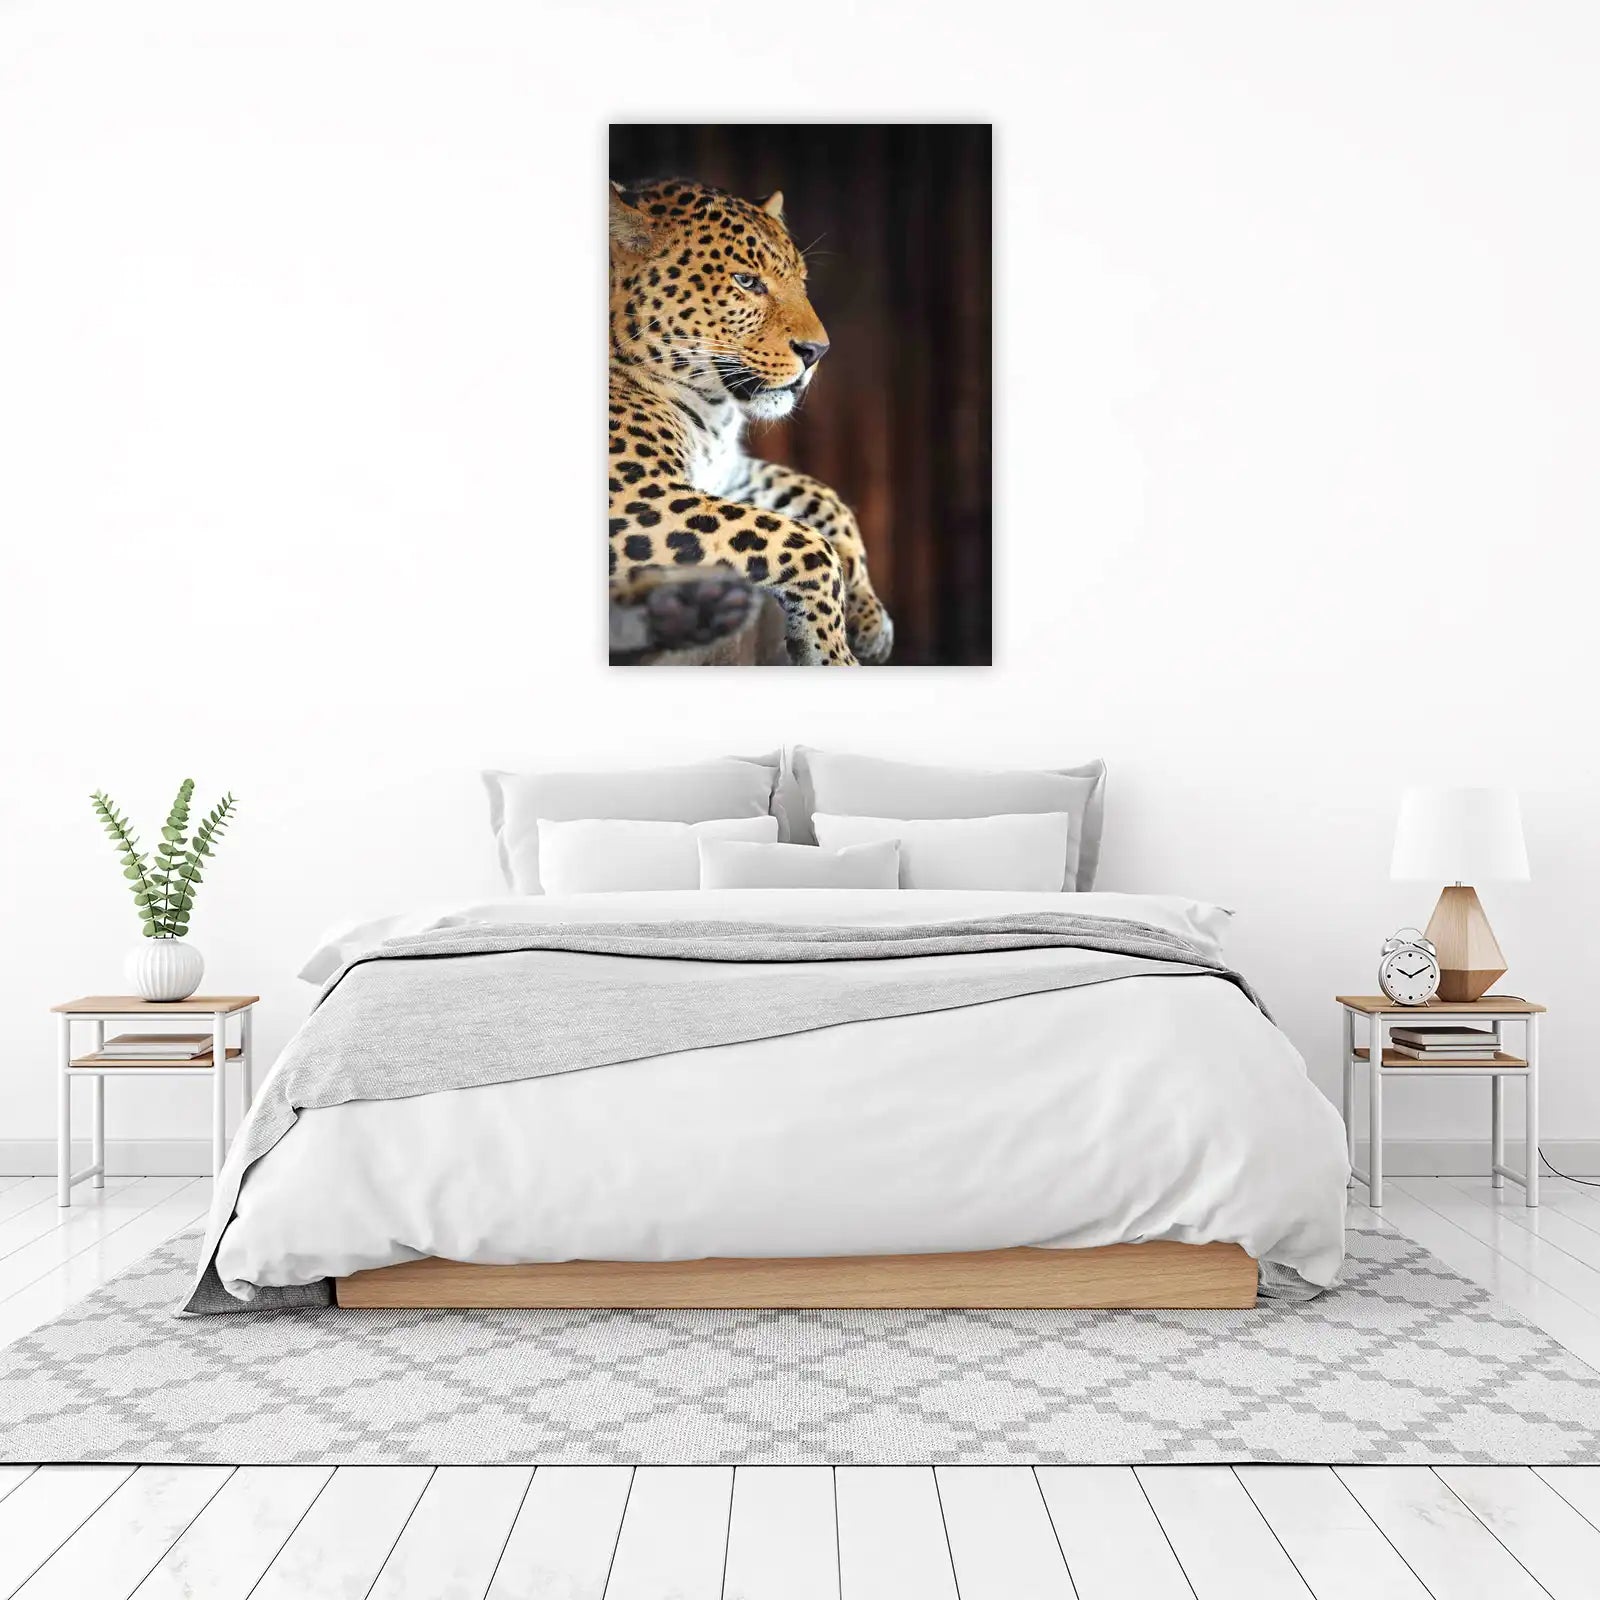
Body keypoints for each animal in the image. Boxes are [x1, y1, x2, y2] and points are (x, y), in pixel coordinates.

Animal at [608, 177, 894, 666]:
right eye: (746, 281)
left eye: (801, 281)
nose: (817, 352)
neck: (712, 411)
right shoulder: (632, 493)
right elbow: (806, 543)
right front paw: (832, 652)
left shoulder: (727, 472)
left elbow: (824, 499)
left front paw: (869, 616)